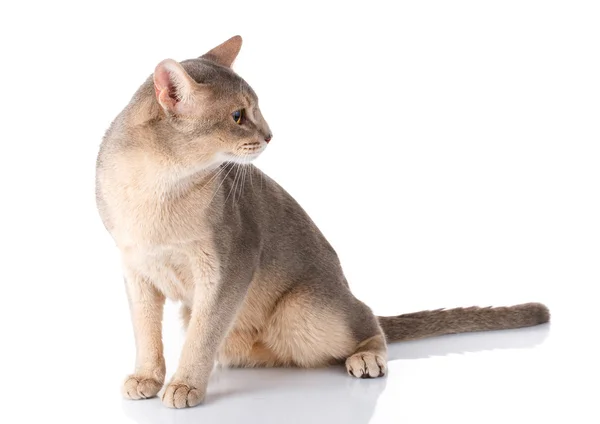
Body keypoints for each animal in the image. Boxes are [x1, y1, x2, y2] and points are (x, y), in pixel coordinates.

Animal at [96, 35, 552, 408]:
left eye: (254, 110)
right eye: (238, 116)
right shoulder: (136, 271)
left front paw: (185, 385)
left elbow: (202, 336)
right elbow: (147, 334)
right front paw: (147, 378)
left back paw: (366, 357)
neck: (158, 183)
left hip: (305, 312)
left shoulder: (228, 268)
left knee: (369, 318)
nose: (270, 135)